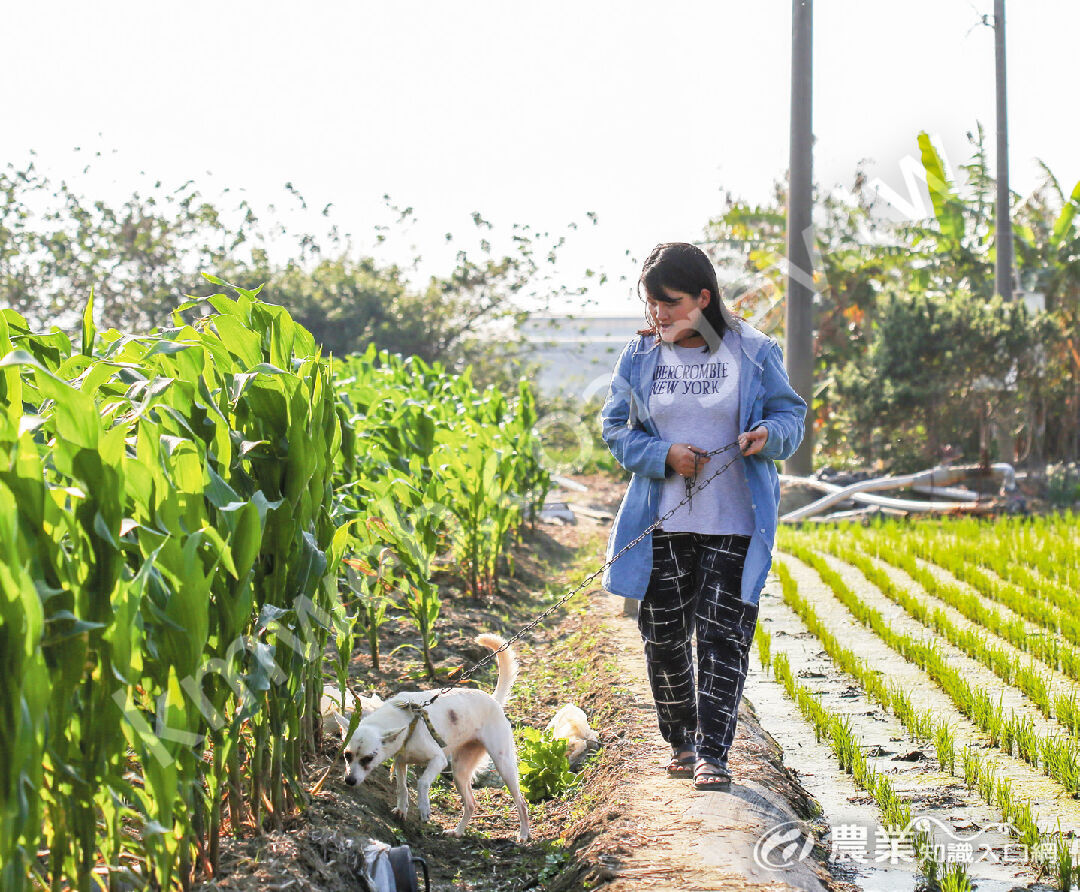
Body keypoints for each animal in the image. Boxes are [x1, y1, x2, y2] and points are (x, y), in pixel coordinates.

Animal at [332, 630, 527, 842]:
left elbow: (422, 782)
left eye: (368, 758)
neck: (405, 720)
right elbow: (402, 787)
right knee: (471, 804)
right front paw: (402, 809)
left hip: (503, 765)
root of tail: (493, 700)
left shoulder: (437, 760)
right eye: (347, 755)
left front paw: (424, 808)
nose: (349, 781)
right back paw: (458, 831)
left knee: (521, 802)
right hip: (459, 771)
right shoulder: (400, 761)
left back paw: (524, 834)